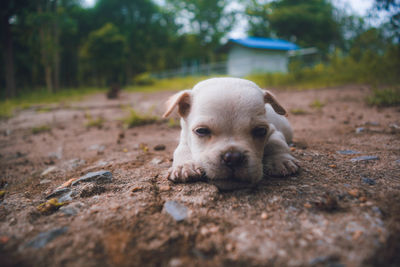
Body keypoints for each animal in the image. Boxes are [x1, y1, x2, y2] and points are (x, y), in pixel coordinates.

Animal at [162, 77, 296, 191]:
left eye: (260, 131)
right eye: (201, 131)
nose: (233, 158)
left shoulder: (273, 131)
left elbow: (276, 142)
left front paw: (280, 160)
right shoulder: (184, 138)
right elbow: (181, 150)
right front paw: (185, 165)